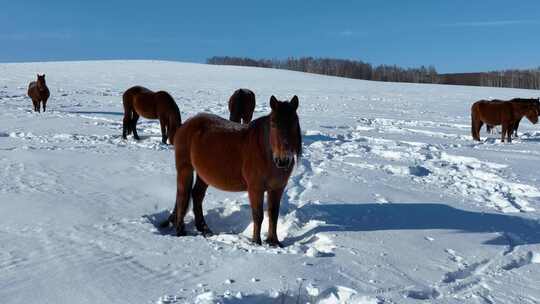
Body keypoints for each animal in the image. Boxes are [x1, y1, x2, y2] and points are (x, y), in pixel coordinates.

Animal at [162, 95, 302, 247]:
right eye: (273, 124)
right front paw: (256, 242)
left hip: (203, 175)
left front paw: (274, 242)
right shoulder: (255, 189)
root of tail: (185, 125)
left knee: (197, 195)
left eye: (294, 123)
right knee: (182, 196)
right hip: (185, 169)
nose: (283, 160)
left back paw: (204, 229)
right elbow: (258, 215)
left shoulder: (277, 189)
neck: (266, 154)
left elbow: (273, 214)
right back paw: (181, 231)